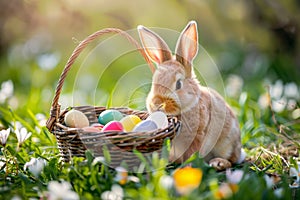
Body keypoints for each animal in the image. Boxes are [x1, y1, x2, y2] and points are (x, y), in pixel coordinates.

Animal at [137, 21, 245, 170]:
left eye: (178, 84)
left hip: (226, 145)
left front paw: (187, 166)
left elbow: (191, 153)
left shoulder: (198, 135)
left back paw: (218, 163)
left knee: (231, 160)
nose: (157, 103)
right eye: (154, 82)